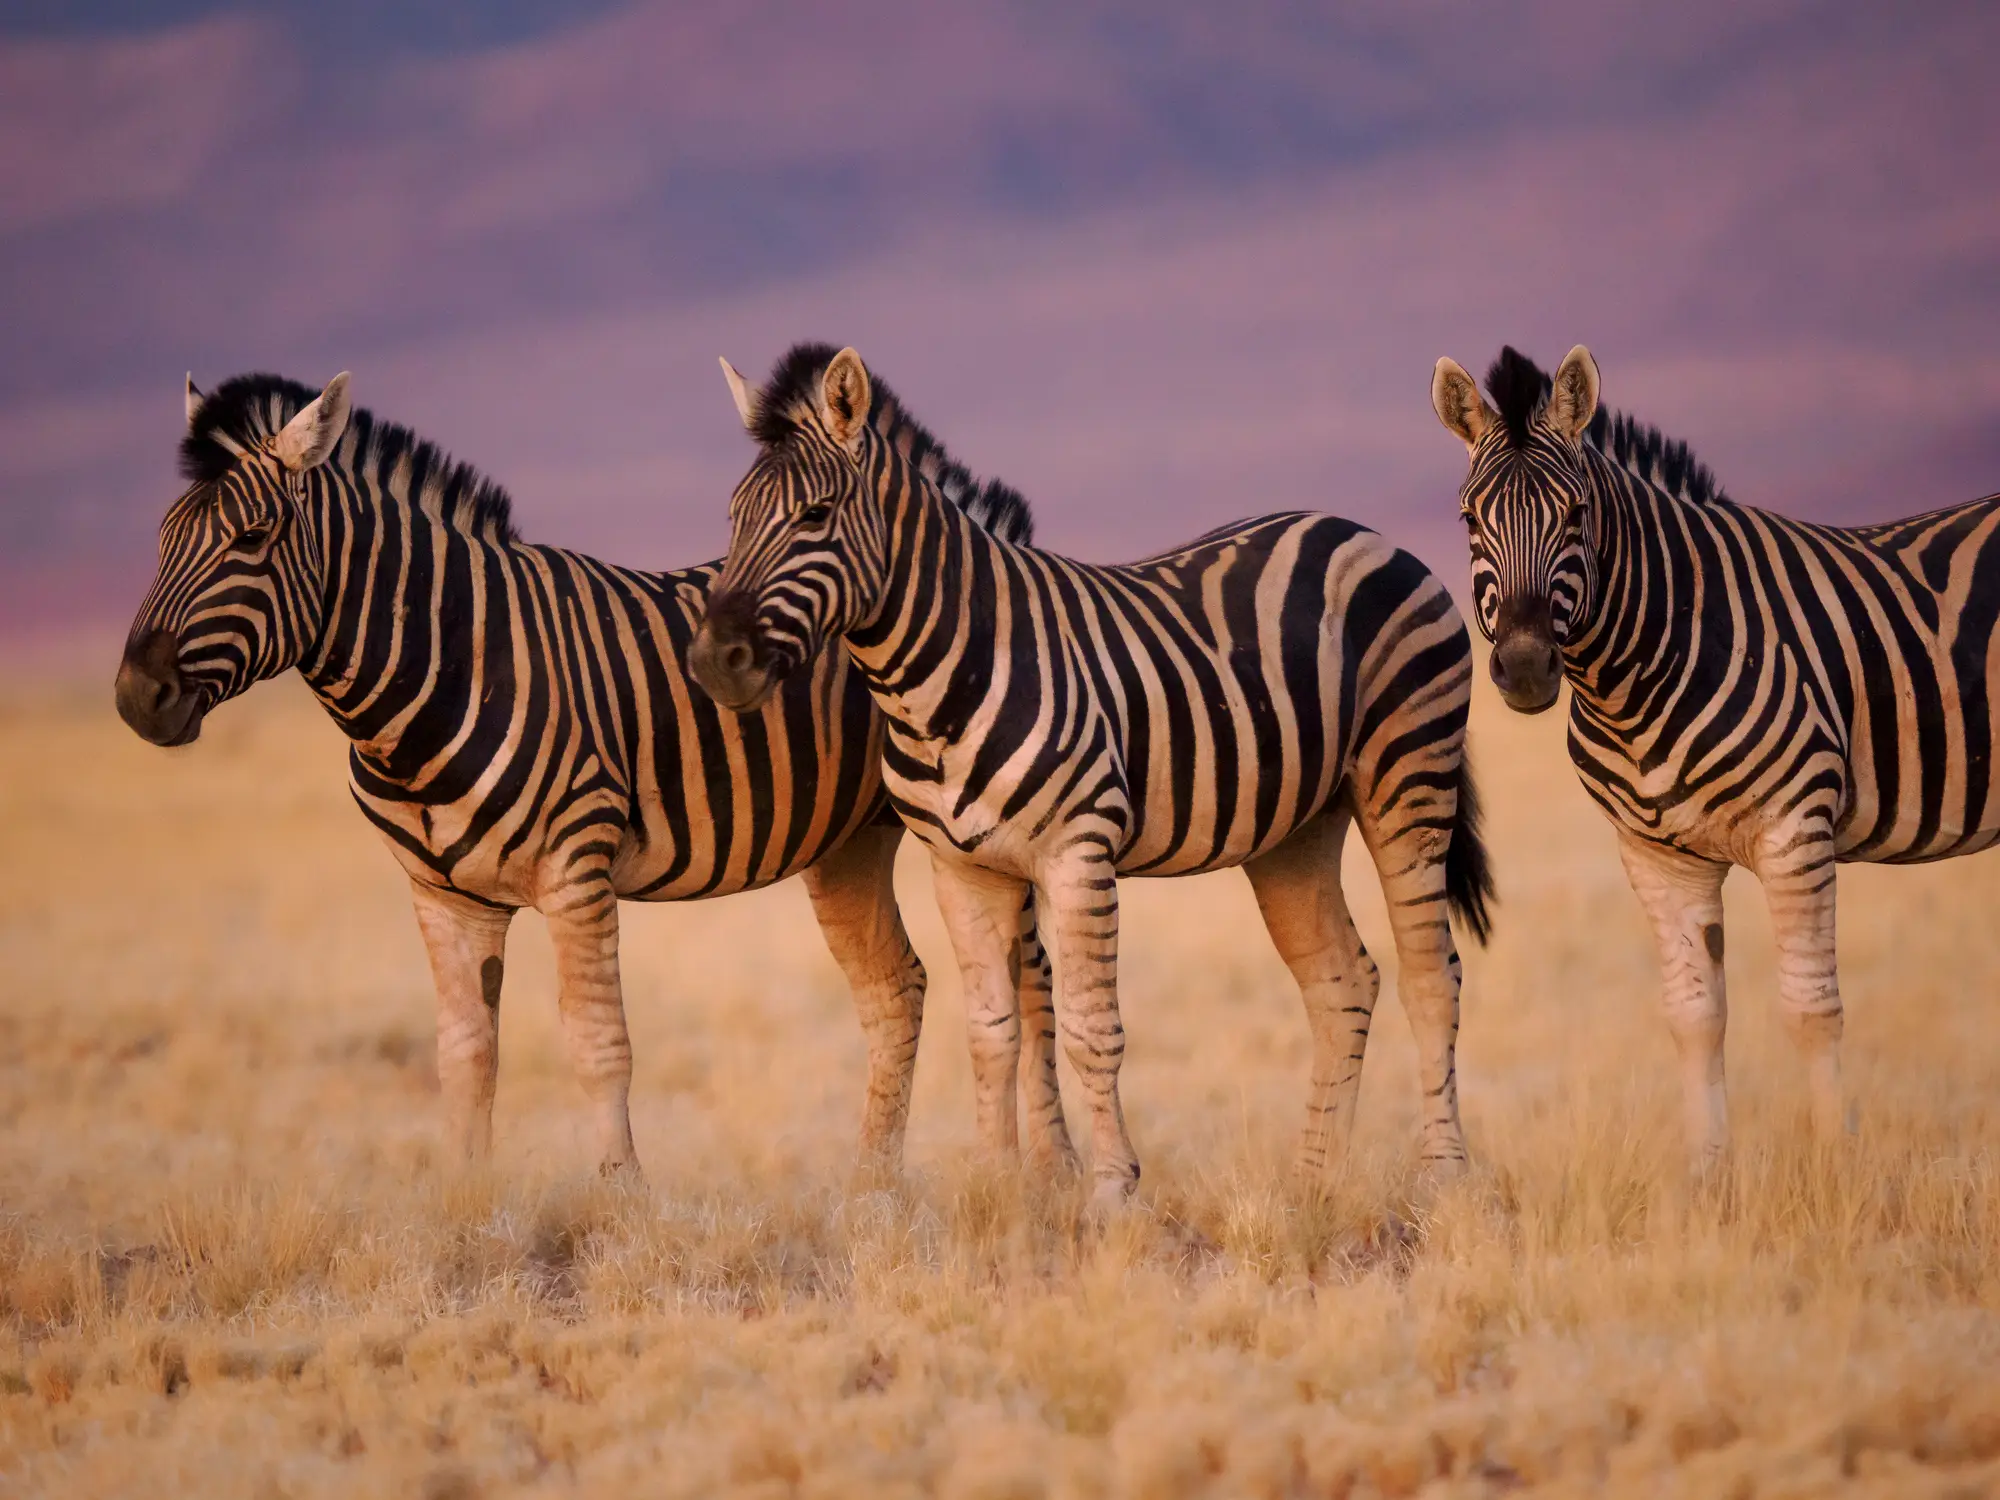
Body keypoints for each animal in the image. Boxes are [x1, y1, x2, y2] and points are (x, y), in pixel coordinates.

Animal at [113, 370, 1071, 1178]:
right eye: (161, 540)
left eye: (251, 539)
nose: (135, 697)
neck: (449, 665)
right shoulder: (443, 894)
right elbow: (465, 1053)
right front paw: (465, 1207)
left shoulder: (577, 870)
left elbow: (598, 1044)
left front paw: (622, 1203)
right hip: (848, 842)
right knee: (895, 987)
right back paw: (871, 1187)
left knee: (1031, 985)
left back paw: (1048, 1174)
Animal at [688, 344, 1495, 1210]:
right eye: (732, 519)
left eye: (815, 516)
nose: (714, 660)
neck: (942, 678)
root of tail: (1360, 531)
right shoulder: (960, 870)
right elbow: (990, 1031)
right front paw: (998, 1189)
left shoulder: (1079, 856)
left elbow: (1089, 1030)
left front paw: (1112, 1191)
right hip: (1295, 829)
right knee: (1342, 980)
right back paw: (1313, 1185)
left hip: (1408, 777)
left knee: (1431, 975)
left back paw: (1444, 1174)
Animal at [1433, 342, 2000, 1166]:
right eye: (1471, 519)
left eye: (1576, 514)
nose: (1529, 665)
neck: (1642, 675)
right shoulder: (1658, 855)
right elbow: (1694, 1014)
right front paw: (1707, 1176)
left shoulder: (1795, 829)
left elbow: (1811, 1008)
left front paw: (1834, 1169)